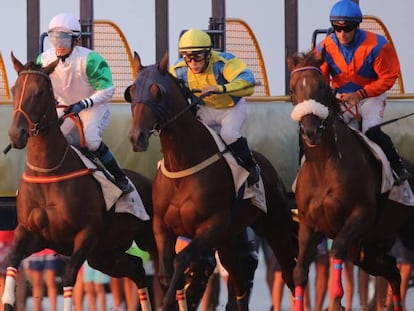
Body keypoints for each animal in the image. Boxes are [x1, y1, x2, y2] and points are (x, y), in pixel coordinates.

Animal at [4, 53, 157, 311]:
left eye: (40, 92)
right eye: (15, 90)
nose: (17, 134)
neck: (48, 172)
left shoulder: (87, 234)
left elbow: (67, 277)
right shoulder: (30, 233)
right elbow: (10, 262)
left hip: (150, 239)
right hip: (104, 254)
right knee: (137, 268)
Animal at [126, 52, 298, 310]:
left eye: (158, 91)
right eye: (132, 90)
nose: (137, 137)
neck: (182, 164)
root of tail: (271, 169)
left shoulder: (211, 226)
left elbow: (182, 259)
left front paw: (168, 300)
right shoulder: (162, 226)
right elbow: (166, 273)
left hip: (275, 226)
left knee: (290, 270)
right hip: (230, 240)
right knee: (240, 283)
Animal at [286, 50, 414, 311]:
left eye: (322, 85)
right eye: (293, 89)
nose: (311, 131)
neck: (324, 165)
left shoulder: (359, 216)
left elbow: (337, 250)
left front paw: (337, 300)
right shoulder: (308, 224)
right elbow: (299, 270)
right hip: (369, 249)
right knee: (393, 270)